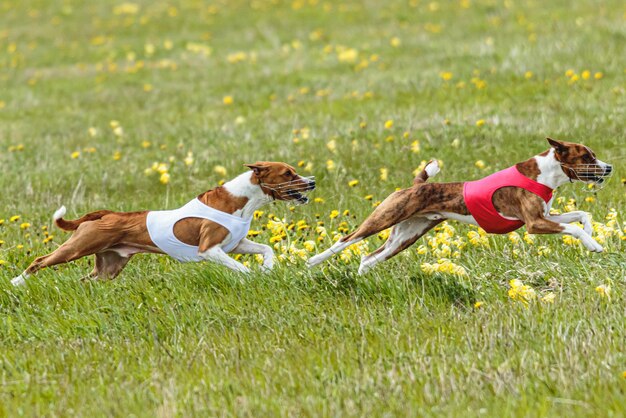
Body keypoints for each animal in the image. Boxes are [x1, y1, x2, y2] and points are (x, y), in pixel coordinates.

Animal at [13, 162, 316, 286]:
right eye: (288, 173)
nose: (312, 182)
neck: (240, 200)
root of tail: (103, 214)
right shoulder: (210, 249)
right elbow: (240, 267)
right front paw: (253, 275)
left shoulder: (235, 244)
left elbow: (267, 249)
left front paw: (267, 268)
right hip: (77, 247)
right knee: (39, 260)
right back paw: (17, 282)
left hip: (109, 265)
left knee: (86, 280)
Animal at [308, 138, 608, 274]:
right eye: (587, 157)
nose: (609, 168)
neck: (544, 174)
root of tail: (416, 185)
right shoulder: (534, 223)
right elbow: (573, 227)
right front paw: (593, 244)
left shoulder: (545, 216)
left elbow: (582, 215)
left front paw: (591, 235)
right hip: (385, 217)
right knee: (347, 239)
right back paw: (314, 261)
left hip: (406, 235)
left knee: (369, 258)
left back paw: (364, 280)